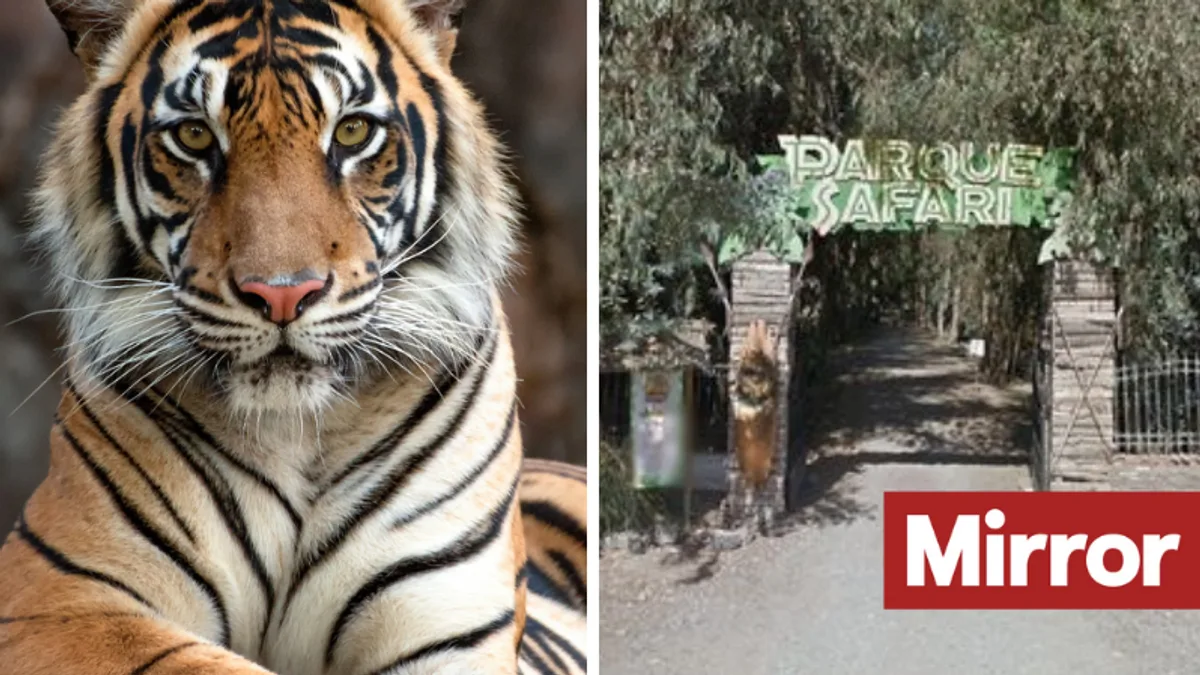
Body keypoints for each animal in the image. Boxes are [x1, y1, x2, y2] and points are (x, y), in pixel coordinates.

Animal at [0, 0, 587, 674]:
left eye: (353, 133)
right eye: (194, 136)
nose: (282, 294)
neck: (296, 430)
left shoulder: (449, 622)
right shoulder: (61, 599)